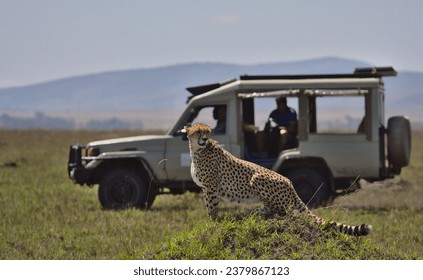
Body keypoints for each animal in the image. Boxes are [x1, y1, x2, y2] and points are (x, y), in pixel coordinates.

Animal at [187, 123, 372, 235]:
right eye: (198, 132)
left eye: (207, 132)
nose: (204, 139)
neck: (197, 151)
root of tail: (291, 184)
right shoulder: (205, 188)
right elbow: (208, 207)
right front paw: (210, 223)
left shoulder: (211, 188)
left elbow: (212, 209)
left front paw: (212, 223)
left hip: (256, 178)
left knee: (281, 211)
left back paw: (254, 213)